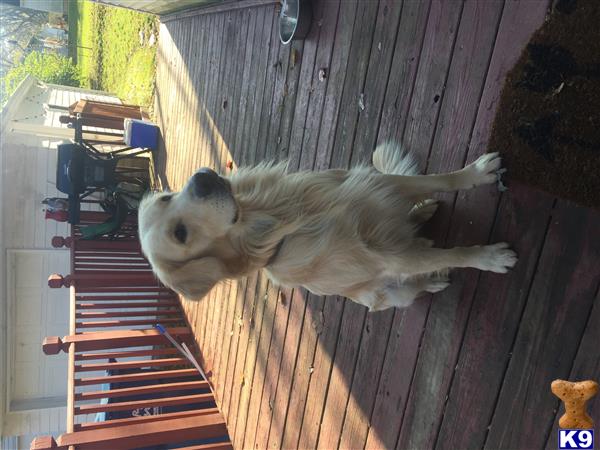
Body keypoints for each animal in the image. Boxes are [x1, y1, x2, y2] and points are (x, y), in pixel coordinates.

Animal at [139, 144, 516, 310]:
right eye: (180, 234)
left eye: (167, 196)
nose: (201, 179)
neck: (283, 221)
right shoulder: (390, 257)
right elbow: (453, 254)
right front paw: (491, 258)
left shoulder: (378, 184)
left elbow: (441, 179)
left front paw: (477, 172)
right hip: (387, 294)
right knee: (419, 274)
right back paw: (433, 280)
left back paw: (424, 211)